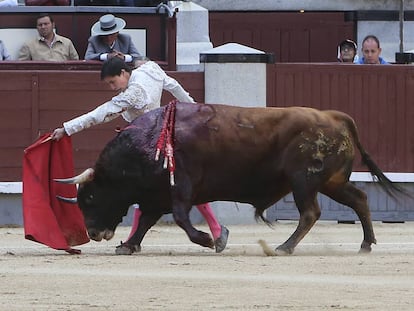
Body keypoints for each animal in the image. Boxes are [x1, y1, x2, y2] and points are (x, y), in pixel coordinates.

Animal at [55, 102, 404, 256]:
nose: (93, 233)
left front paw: (209, 240)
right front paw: (129, 246)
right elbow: (146, 220)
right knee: (359, 198)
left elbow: (181, 218)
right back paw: (366, 244)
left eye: (90, 197)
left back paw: (284, 247)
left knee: (310, 212)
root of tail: (334, 116)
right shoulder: (157, 195)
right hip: (331, 181)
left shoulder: (180, 188)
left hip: (303, 181)